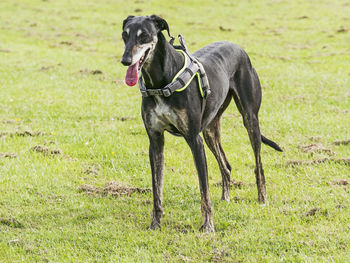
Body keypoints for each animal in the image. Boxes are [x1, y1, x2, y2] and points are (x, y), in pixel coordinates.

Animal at [120, 14, 282, 233]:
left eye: (143, 35)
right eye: (124, 35)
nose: (125, 60)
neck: (161, 83)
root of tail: (238, 47)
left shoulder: (194, 140)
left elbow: (204, 189)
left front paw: (208, 226)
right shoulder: (155, 141)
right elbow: (157, 190)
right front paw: (155, 224)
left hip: (250, 120)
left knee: (259, 165)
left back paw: (262, 198)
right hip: (210, 130)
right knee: (226, 165)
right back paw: (225, 198)